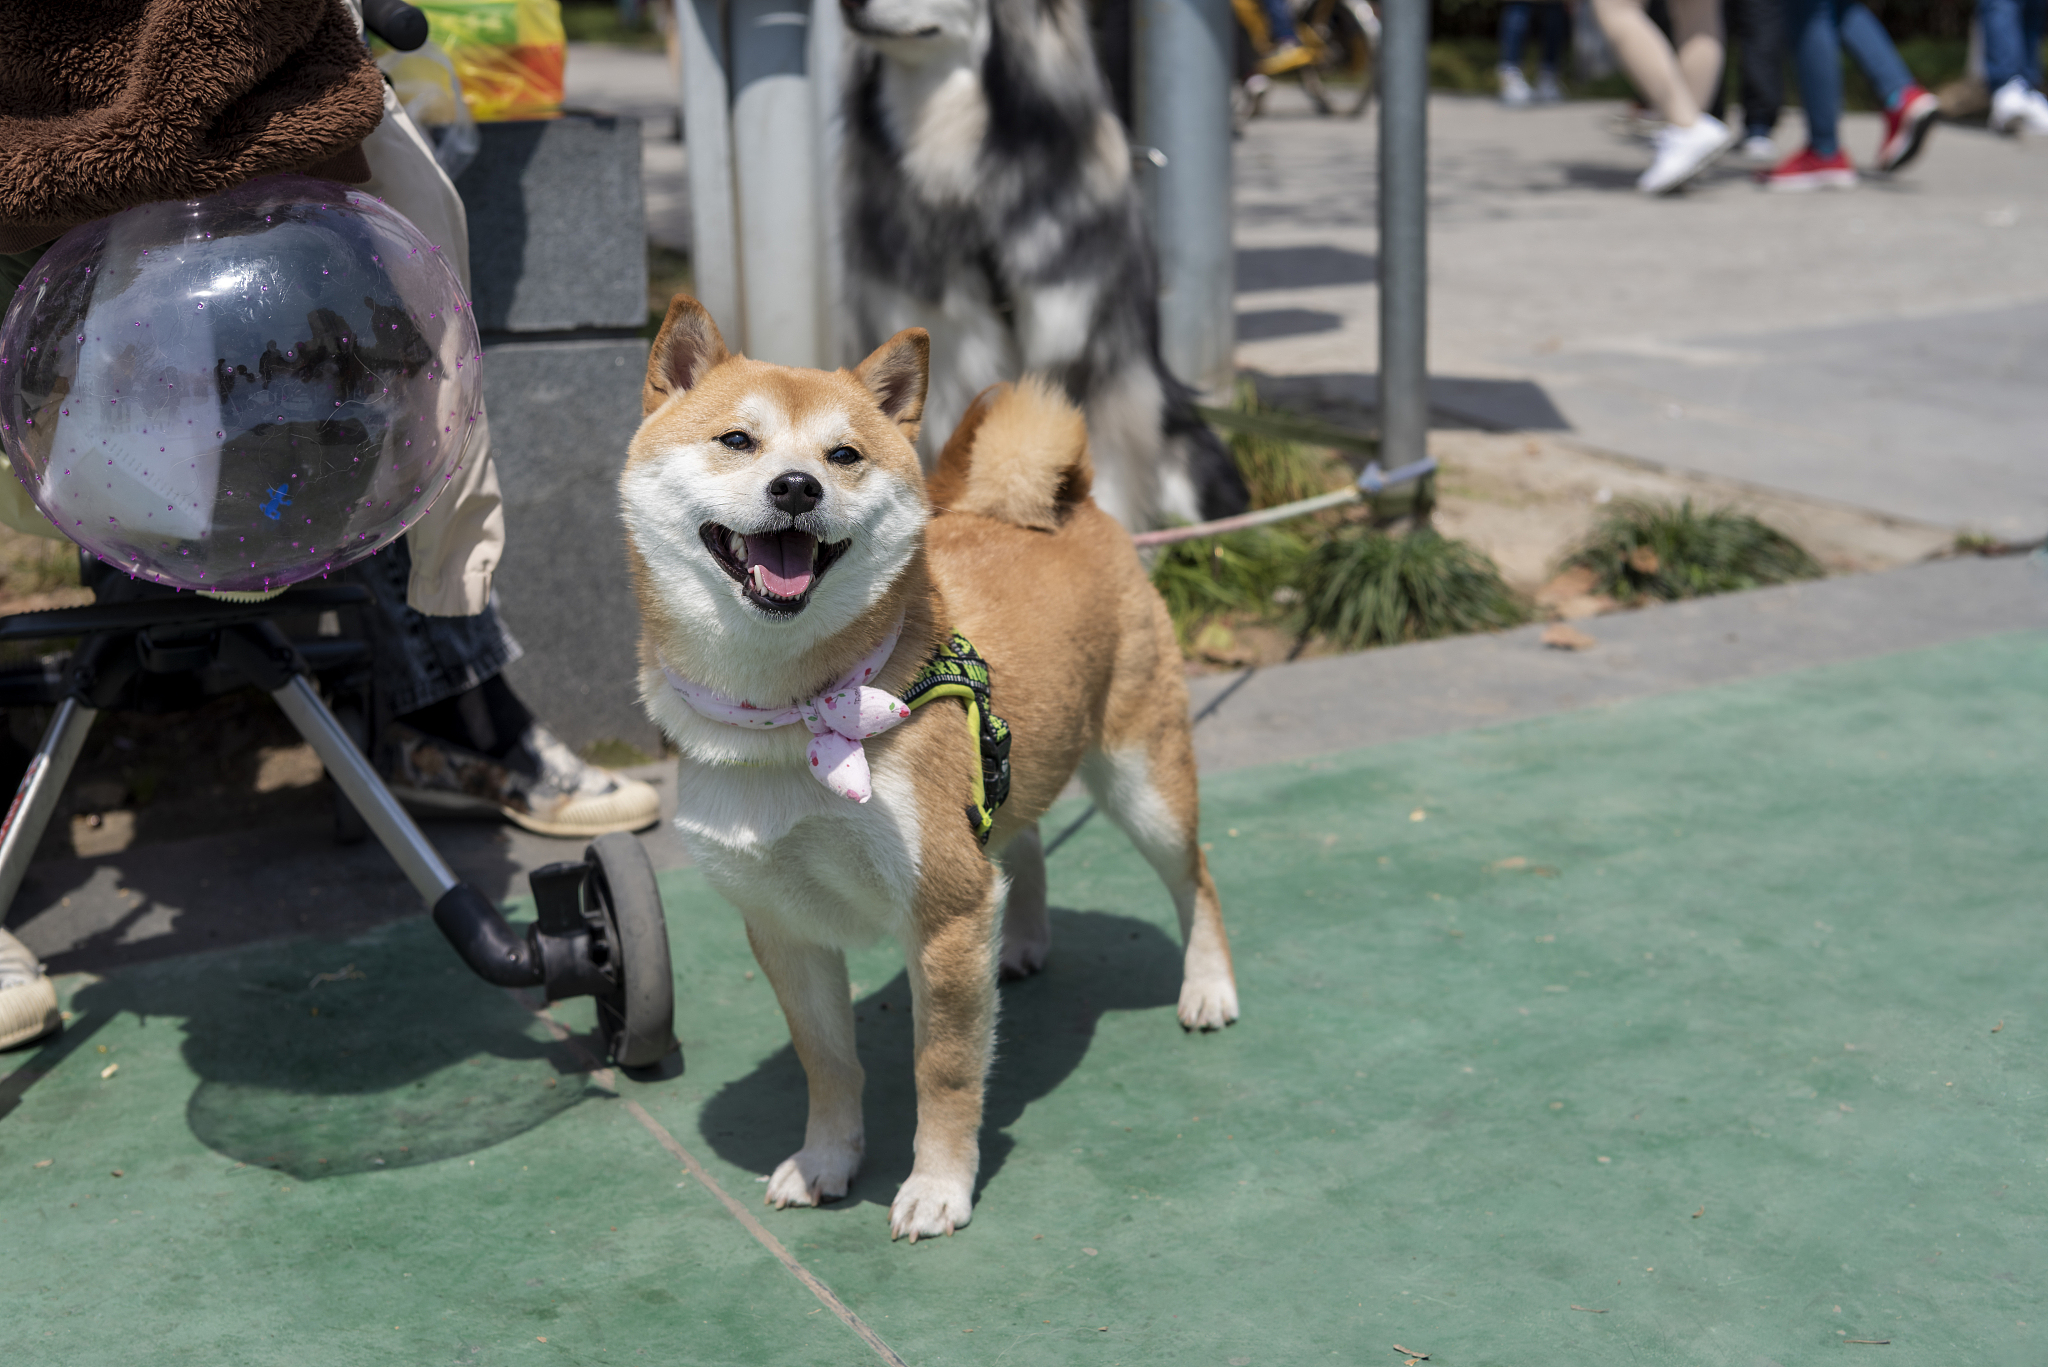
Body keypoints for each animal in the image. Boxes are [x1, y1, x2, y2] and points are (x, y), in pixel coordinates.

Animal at [618, 297, 1228, 1237]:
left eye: (843, 456)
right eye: (737, 440)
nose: (797, 487)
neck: (795, 710)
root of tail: (1074, 506)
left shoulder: (943, 909)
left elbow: (942, 1069)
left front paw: (938, 1185)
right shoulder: (784, 925)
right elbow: (827, 1062)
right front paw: (827, 1159)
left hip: (1144, 780)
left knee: (1195, 875)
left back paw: (1207, 987)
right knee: (1021, 841)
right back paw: (1022, 940)